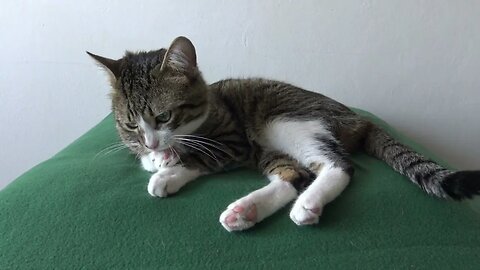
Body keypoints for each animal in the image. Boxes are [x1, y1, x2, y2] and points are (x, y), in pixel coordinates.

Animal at [87, 35, 480, 232]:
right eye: (130, 124)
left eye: (164, 115)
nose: (150, 140)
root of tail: (358, 119)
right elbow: (148, 159)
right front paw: (157, 160)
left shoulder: (234, 142)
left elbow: (201, 155)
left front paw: (168, 170)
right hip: (270, 144)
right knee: (294, 174)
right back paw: (245, 212)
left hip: (285, 121)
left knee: (337, 165)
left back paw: (307, 204)